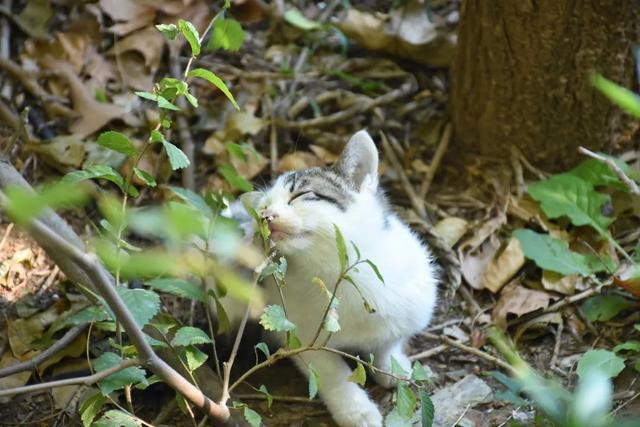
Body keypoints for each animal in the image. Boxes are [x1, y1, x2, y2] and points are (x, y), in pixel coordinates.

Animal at [222, 131, 438, 427]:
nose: (266, 216)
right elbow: (330, 373)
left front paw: (394, 365)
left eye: (302, 195)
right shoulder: (300, 334)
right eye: (263, 207)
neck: (339, 275)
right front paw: (357, 411)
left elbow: (389, 339)